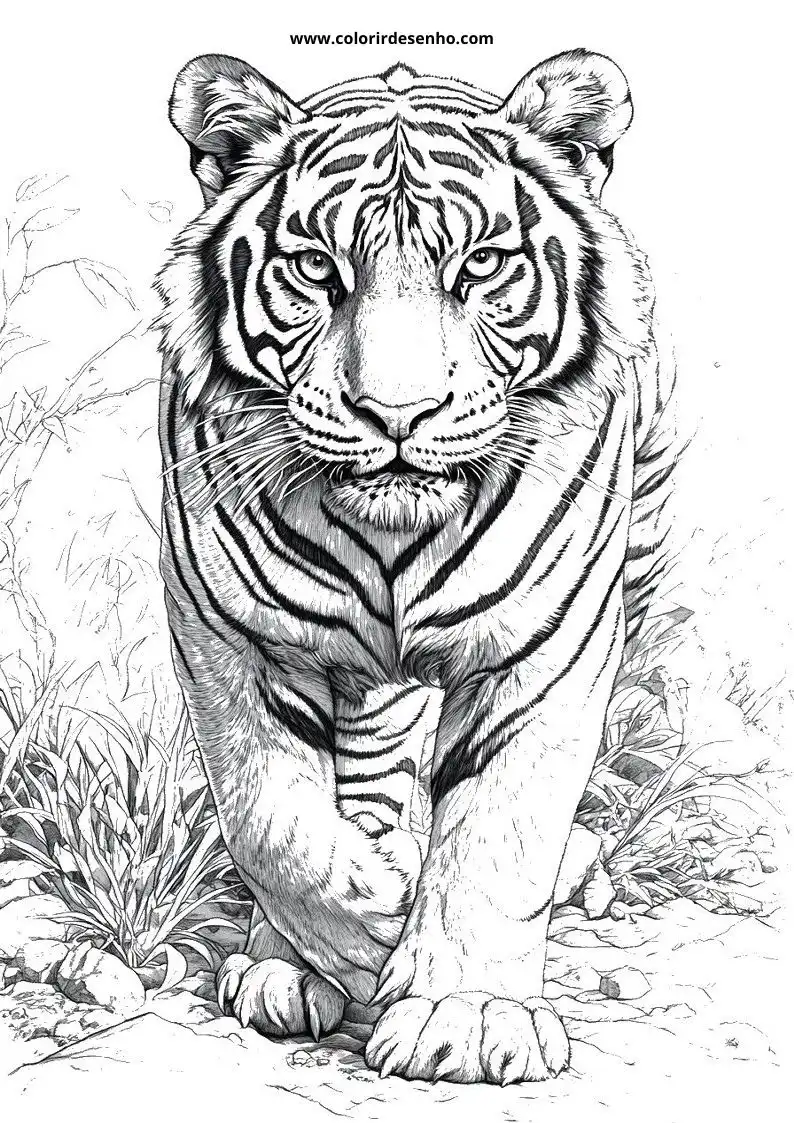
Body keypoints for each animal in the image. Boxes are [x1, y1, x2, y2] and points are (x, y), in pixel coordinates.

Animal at [156, 48, 676, 1085]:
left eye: (479, 265)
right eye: (318, 268)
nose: (397, 413)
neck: (392, 538)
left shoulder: (548, 648)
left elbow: (497, 829)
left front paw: (463, 1015)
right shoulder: (228, 636)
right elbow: (268, 814)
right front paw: (366, 930)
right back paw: (291, 961)